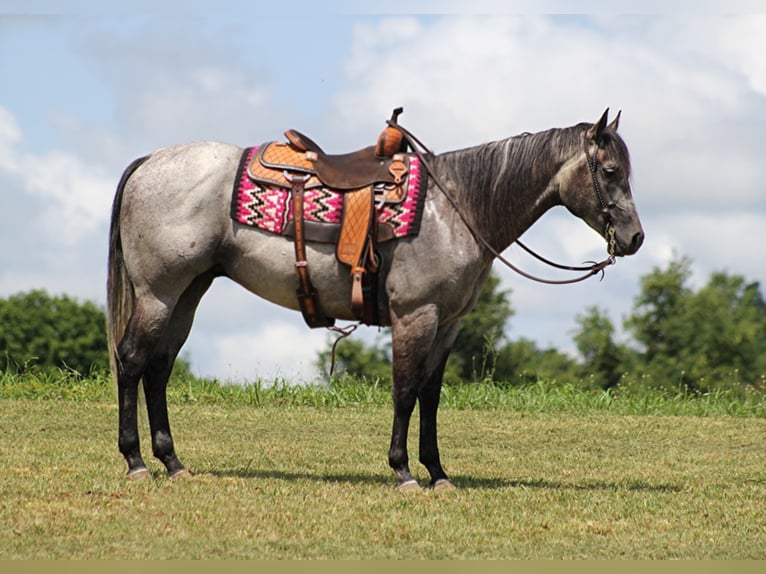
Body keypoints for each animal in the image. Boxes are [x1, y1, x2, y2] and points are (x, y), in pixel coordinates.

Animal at [106, 108, 648, 490]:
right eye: (611, 170)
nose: (636, 237)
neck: (456, 208)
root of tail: (149, 162)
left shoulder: (448, 323)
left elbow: (430, 395)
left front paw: (438, 472)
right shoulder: (415, 316)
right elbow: (405, 391)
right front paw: (404, 471)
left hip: (188, 293)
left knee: (158, 369)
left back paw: (172, 461)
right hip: (159, 293)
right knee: (132, 361)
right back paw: (135, 460)